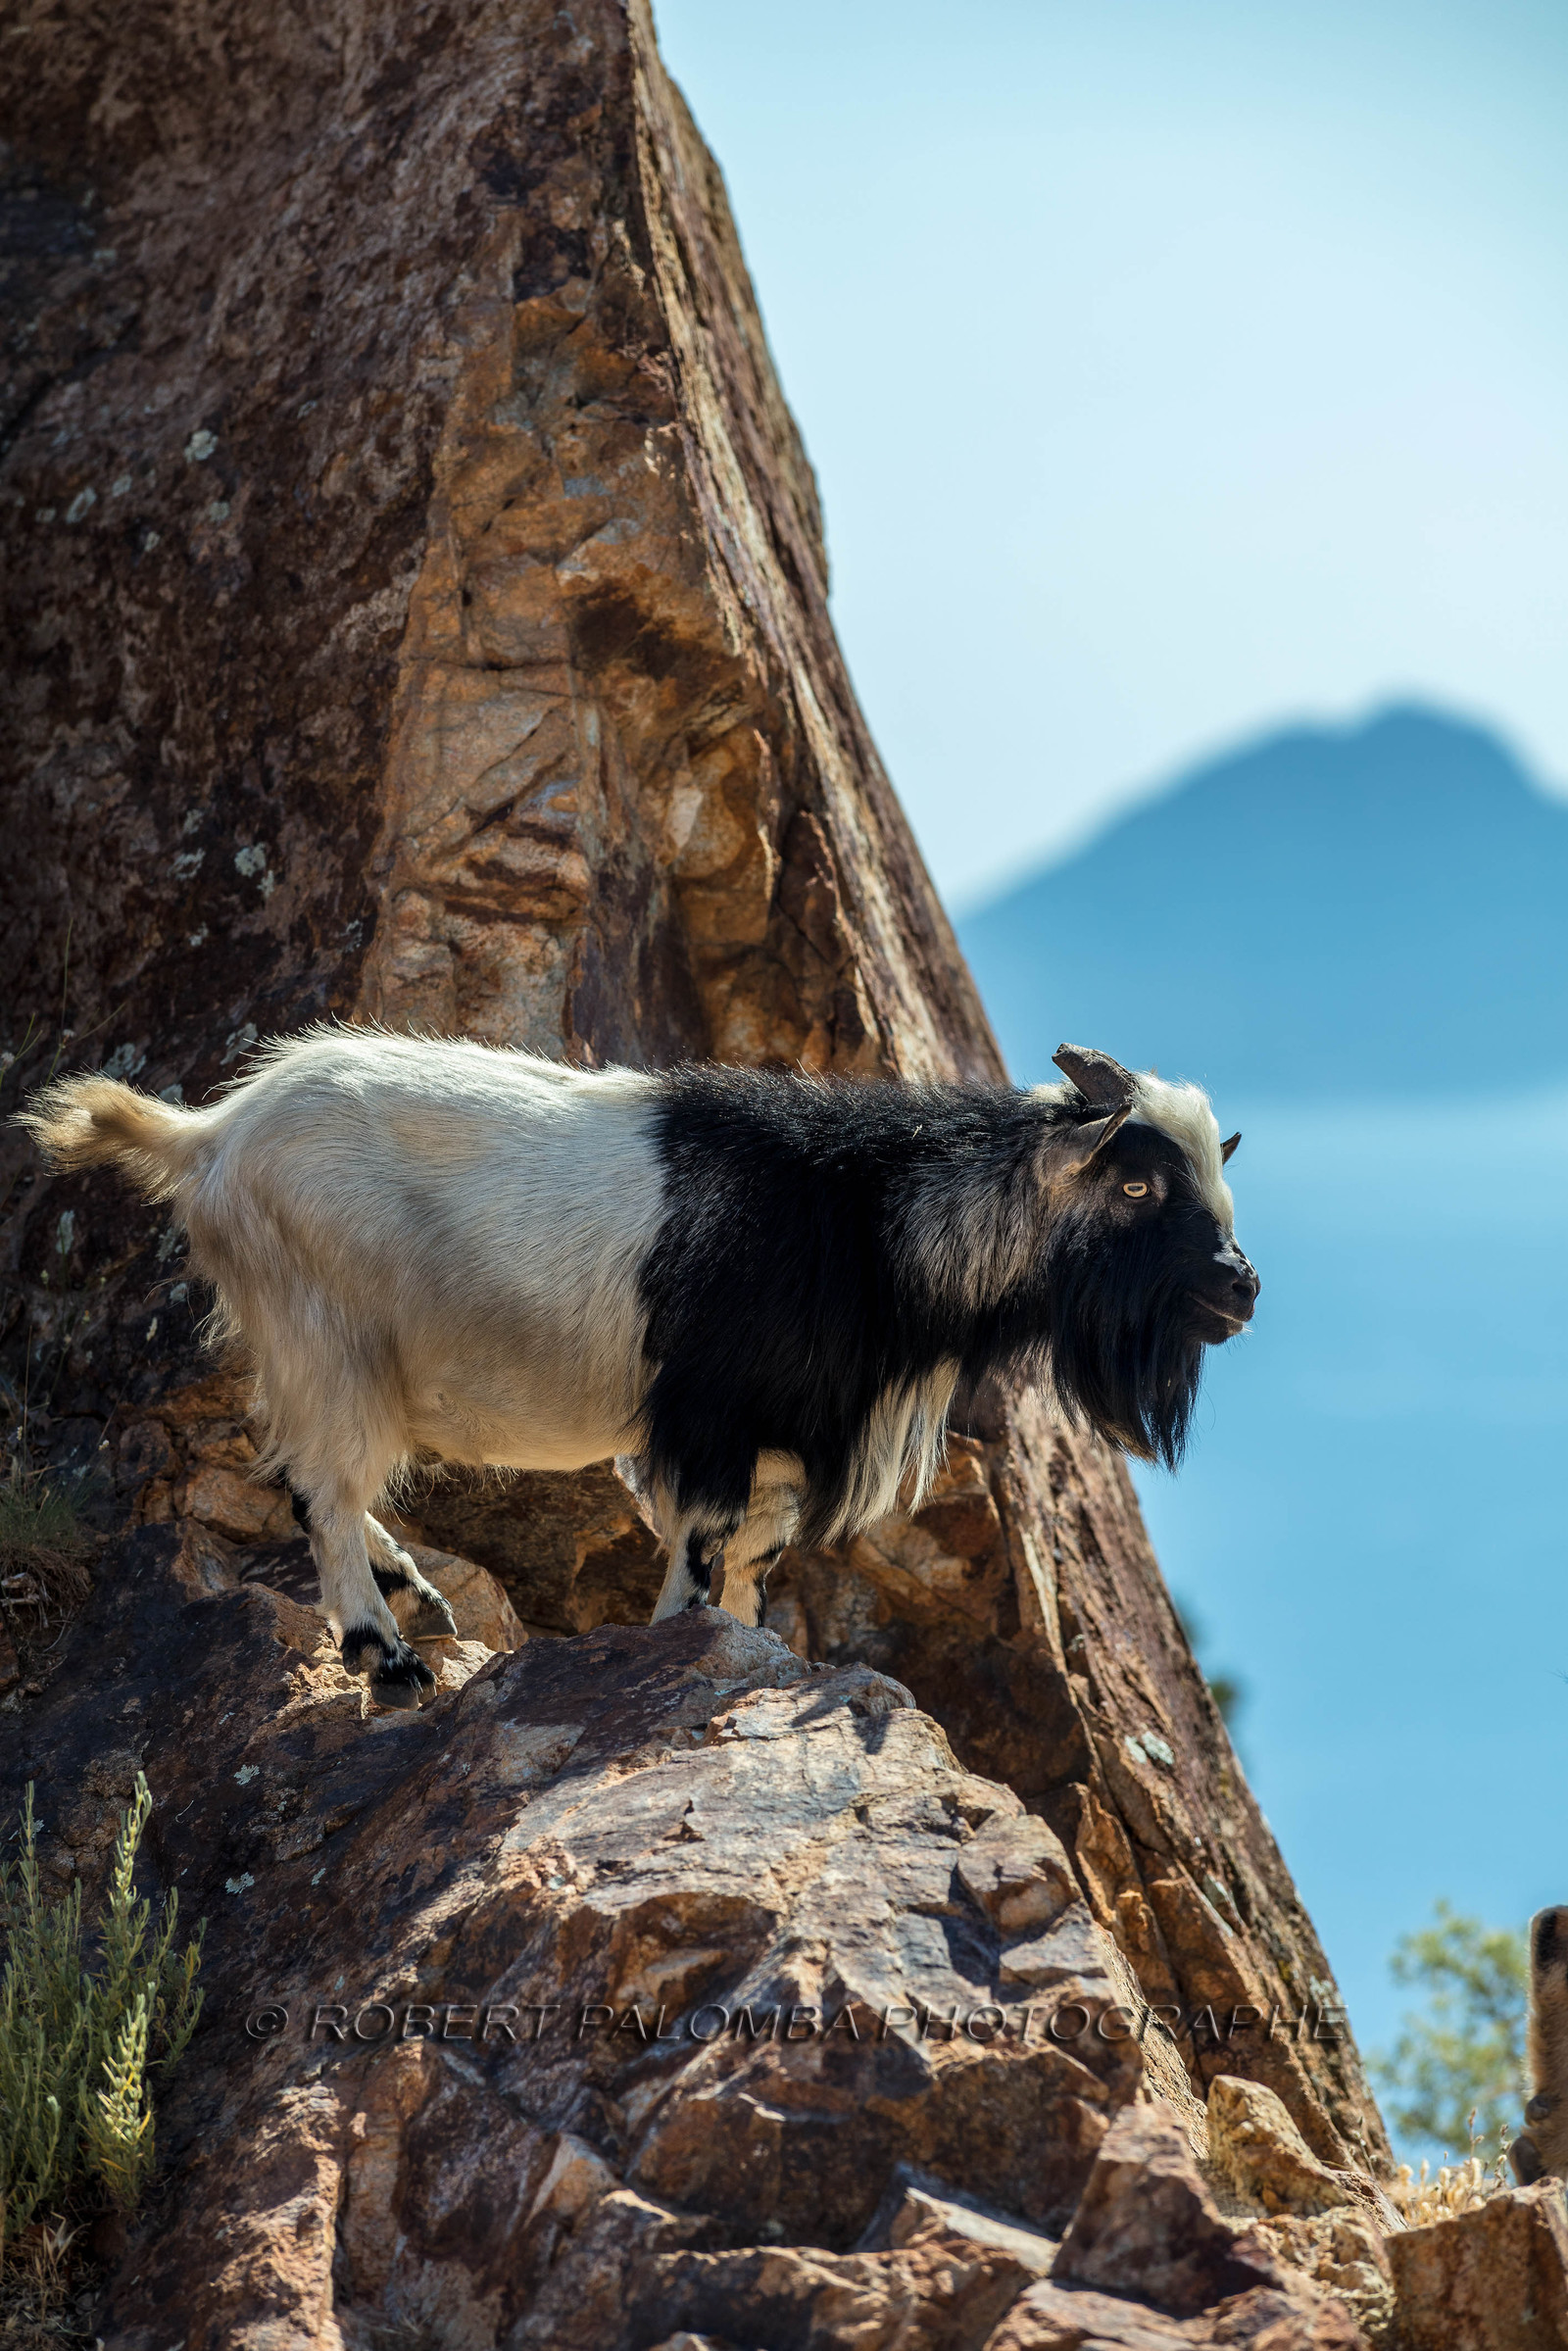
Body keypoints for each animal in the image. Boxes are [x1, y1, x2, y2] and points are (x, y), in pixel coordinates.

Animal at [21, 1028, 1258, 1709]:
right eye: (1138, 1182)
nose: (1240, 1287)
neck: (862, 1214)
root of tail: (210, 1137)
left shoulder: (772, 1437)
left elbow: (754, 1558)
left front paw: (754, 1645)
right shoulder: (710, 1417)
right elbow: (704, 1550)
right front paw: (685, 1641)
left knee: (306, 1475)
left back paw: (417, 1593)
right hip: (330, 1337)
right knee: (321, 1489)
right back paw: (386, 1656)